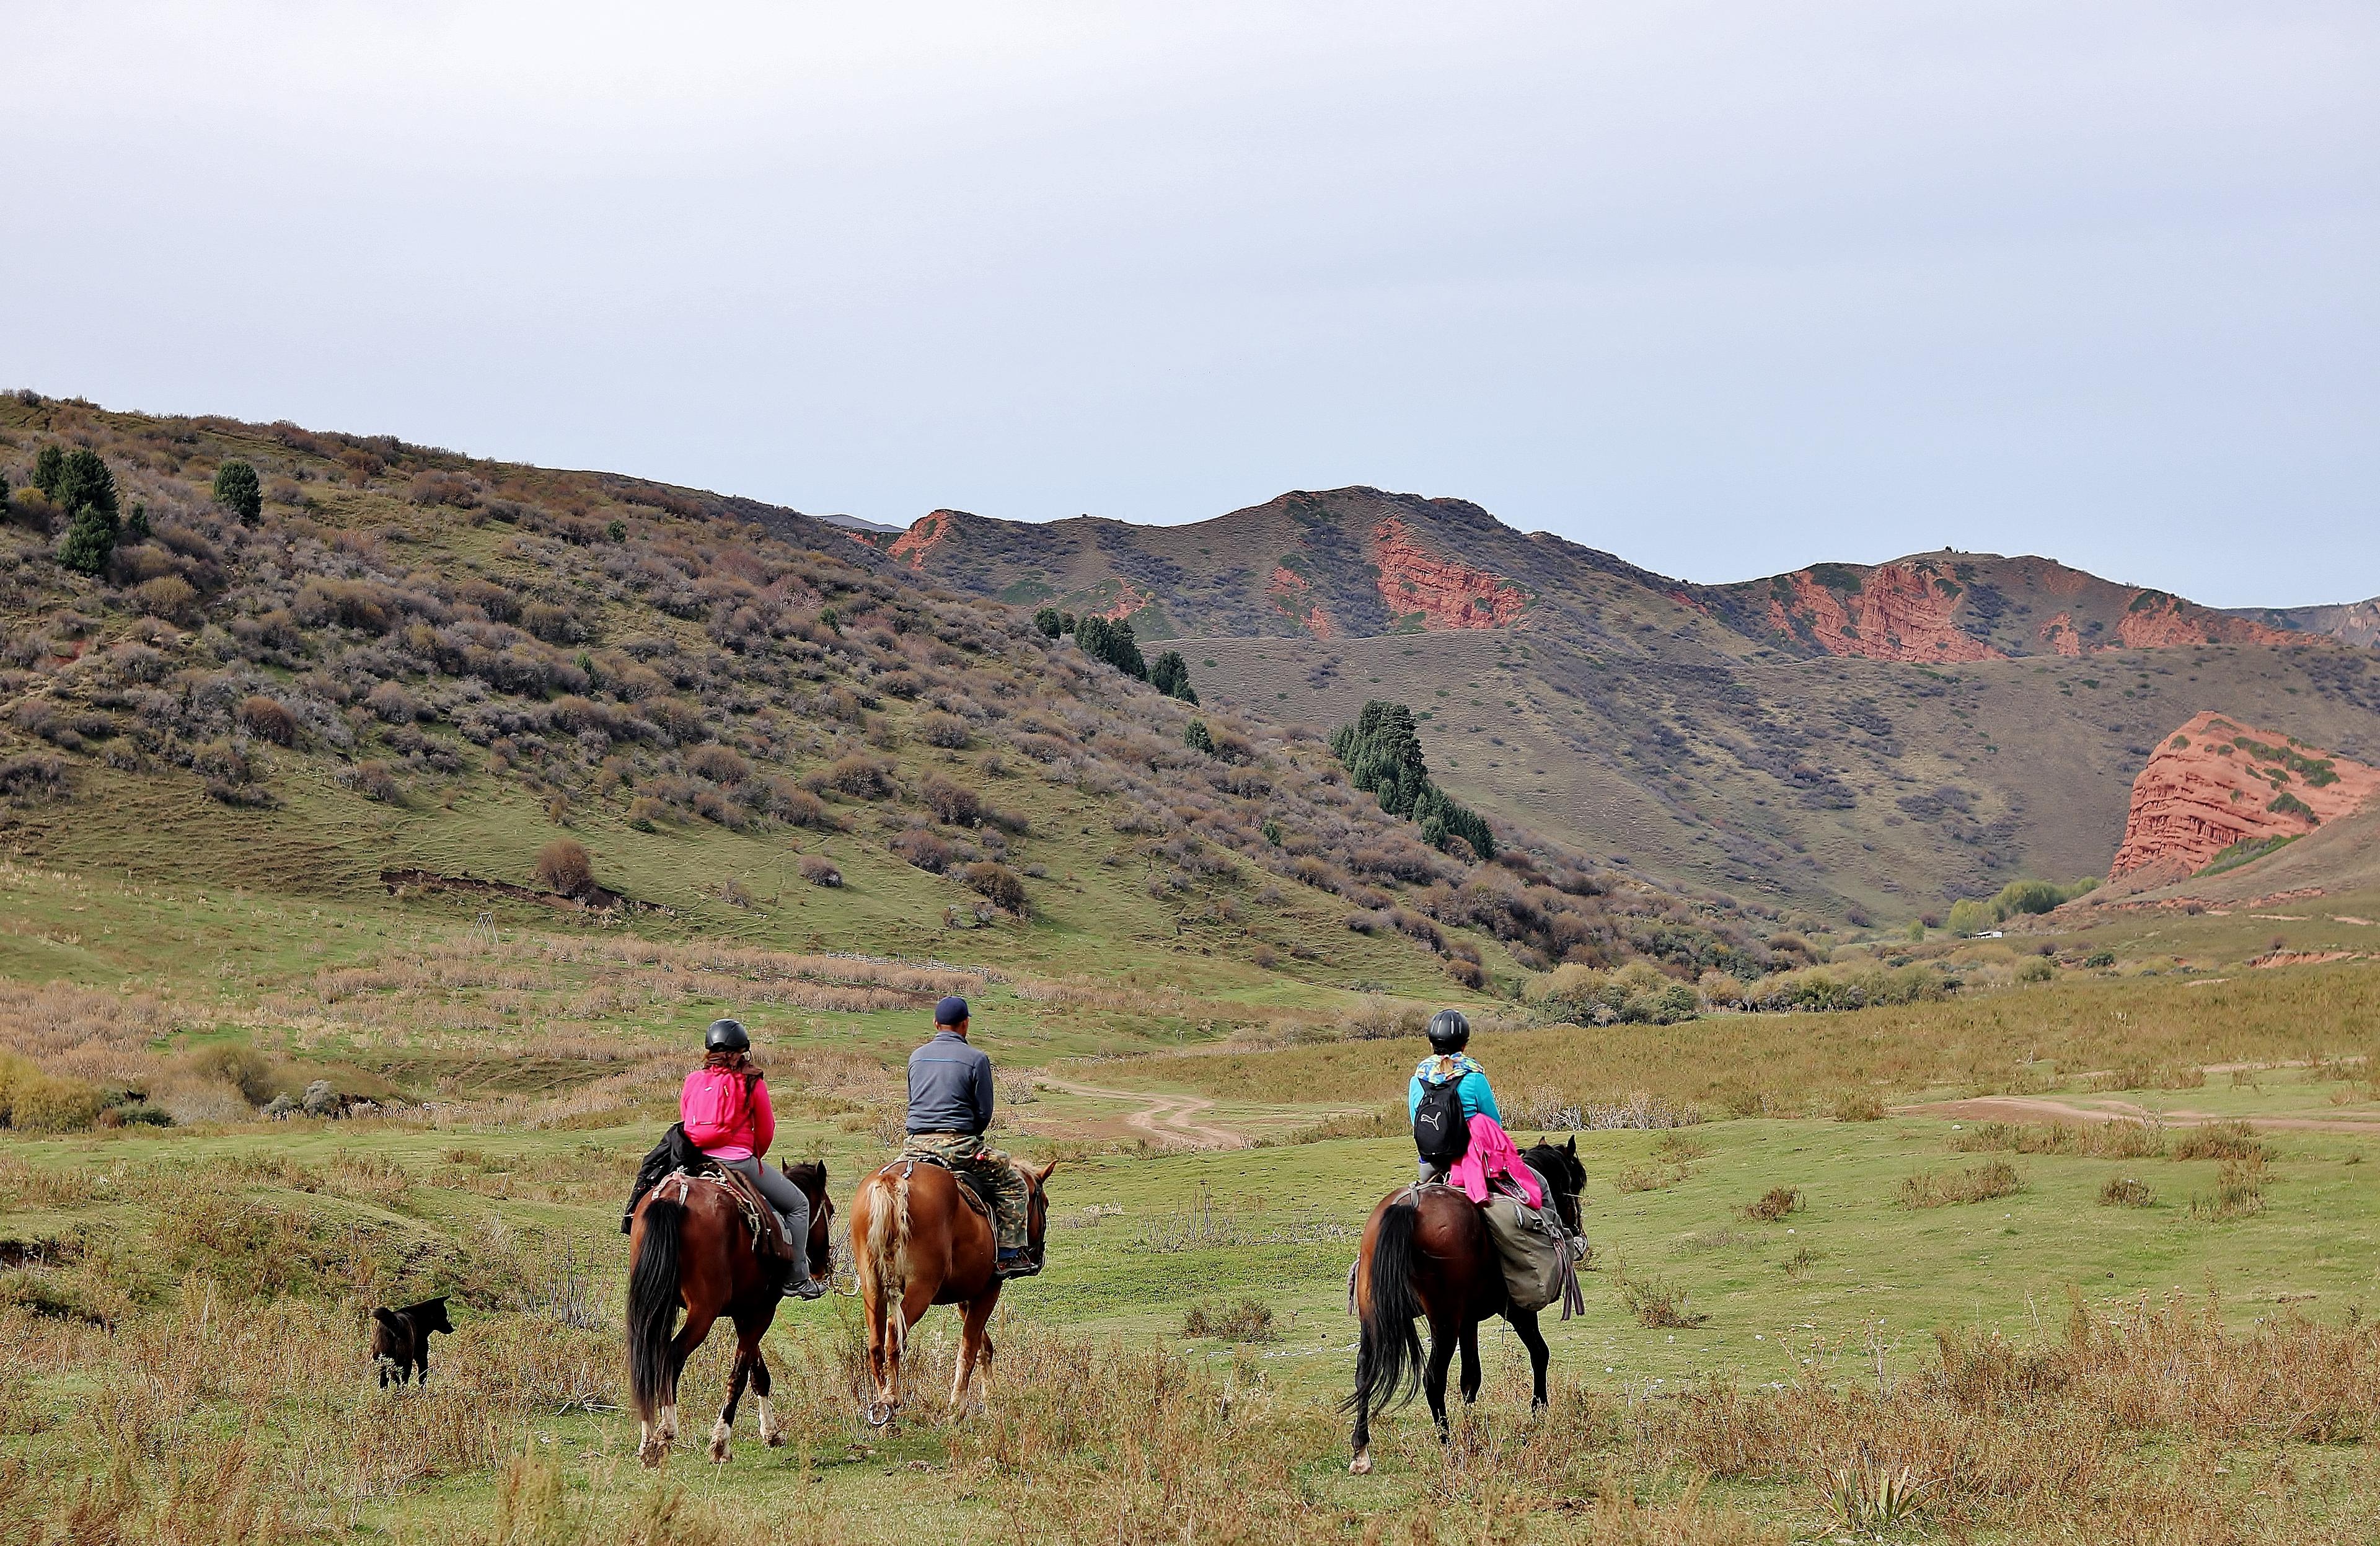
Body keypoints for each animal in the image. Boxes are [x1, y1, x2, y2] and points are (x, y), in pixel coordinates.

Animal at [369, 1286, 452, 1391]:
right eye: (444, 1315)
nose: (452, 1329)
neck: (419, 1318)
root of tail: (392, 1325)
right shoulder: (422, 1357)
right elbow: (423, 1377)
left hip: (382, 1360)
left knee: (385, 1380)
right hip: (405, 1361)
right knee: (400, 1379)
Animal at [624, 1152, 837, 1467]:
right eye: (830, 1211)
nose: (821, 1266)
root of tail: (673, 1195)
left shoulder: (746, 1311)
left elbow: (758, 1374)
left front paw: (771, 1433)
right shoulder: (761, 1312)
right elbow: (739, 1375)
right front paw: (721, 1443)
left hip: (654, 1305)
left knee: (646, 1360)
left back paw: (647, 1440)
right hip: (703, 1311)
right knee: (670, 1356)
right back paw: (666, 1431)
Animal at [847, 1157, 1052, 1420]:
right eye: (1044, 1203)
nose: (1038, 1255)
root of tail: (892, 1181)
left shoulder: (966, 1296)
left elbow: (983, 1346)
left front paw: (989, 1399)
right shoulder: (988, 1291)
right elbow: (969, 1348)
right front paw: (959, 1406)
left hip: (872, 1287)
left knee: (875, 1343)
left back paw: (883, 1407)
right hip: (921, 1288)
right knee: (895, 1330)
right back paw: (892, 1396)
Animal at [1352, 1134, 1590, 1467]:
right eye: (1575, 1183)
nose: (1577, 1229)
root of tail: (1409, 1207)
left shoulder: (1468, 1321)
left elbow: (1470, 1378)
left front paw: (1472, 1425)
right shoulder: (1515, 1311)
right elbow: (1539, 1353)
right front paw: (1538, 1412)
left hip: (1375, 1315)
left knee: (1364, 1371)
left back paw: (1361, 1449)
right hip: (1444, 1322)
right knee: (1433, 1379)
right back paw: (1448, 1446)